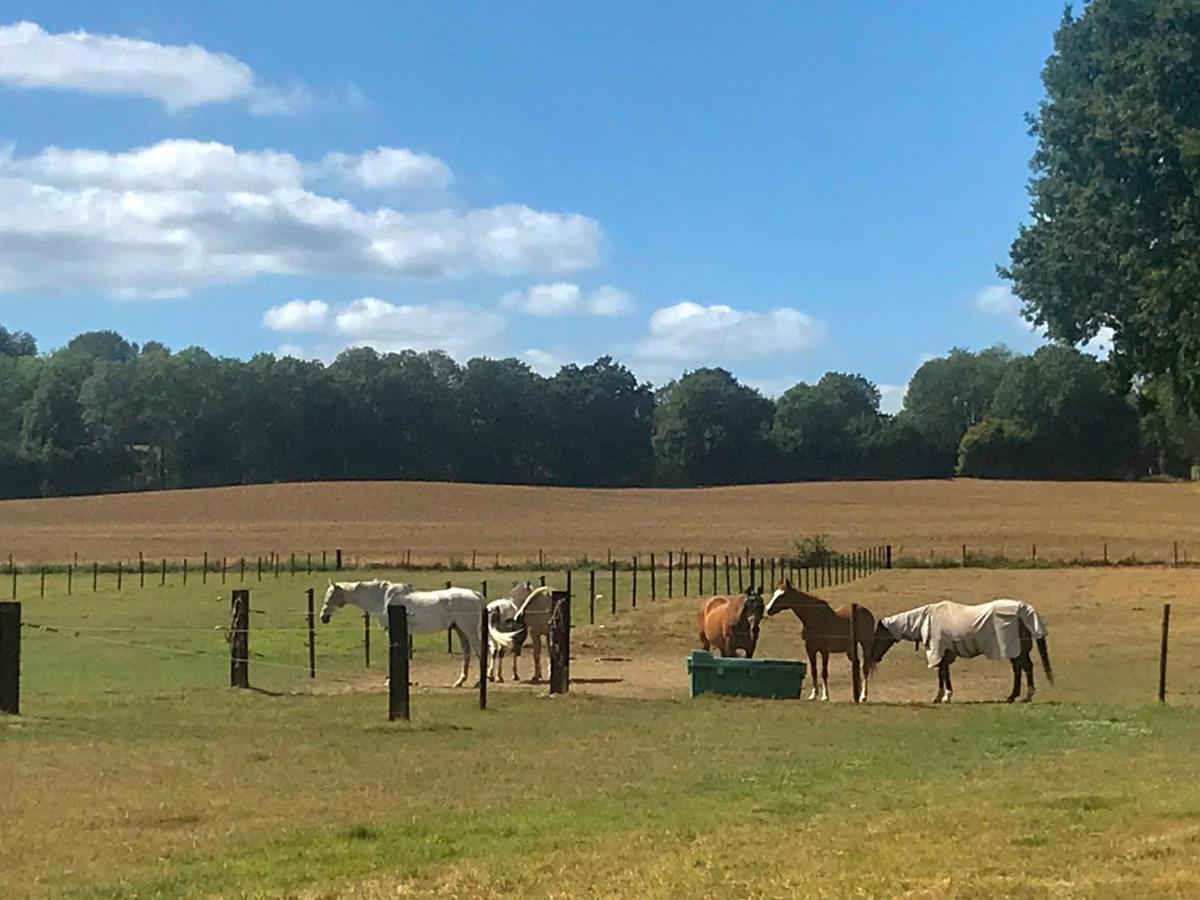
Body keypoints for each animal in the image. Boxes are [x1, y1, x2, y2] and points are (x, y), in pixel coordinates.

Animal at [324, 580, 487, 686]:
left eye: (331, 595)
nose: (323, 617)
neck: (383, 598)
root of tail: (476, 594)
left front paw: (390, 680)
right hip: (460, 630)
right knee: (467, 653)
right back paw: (460, 681)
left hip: (469, 630)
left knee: (480, 652)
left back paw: (480, 682)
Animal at [868, 602, 1056, 710]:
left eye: (878, 636)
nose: (873, 657)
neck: (924, 620)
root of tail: (1024, 611)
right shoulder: (945, 654)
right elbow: (943, 674)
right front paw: (942, 696)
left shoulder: (940, 651)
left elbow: (943, 674)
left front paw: (944, 696)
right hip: (1017, 651)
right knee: (1022, 668)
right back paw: (1017, 696)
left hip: (1014, 649)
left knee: (1024, 668)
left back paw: (1022, 696)